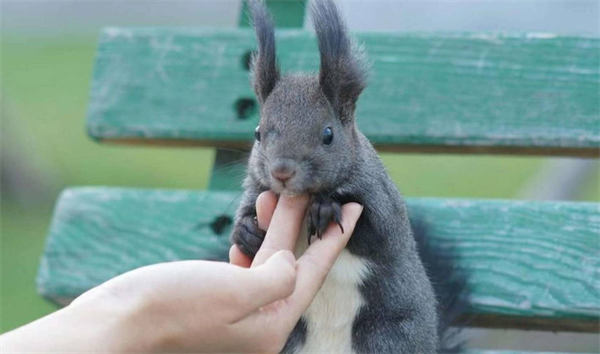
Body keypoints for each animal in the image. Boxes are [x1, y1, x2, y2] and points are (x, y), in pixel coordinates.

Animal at [230, 1, 454, 352]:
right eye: (257, 133)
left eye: (328, 135)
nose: (282, 171)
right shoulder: (257, 190)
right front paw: (247, 232)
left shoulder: (380, 199)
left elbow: (376, 232)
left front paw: (325, 208)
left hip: (390, 338)